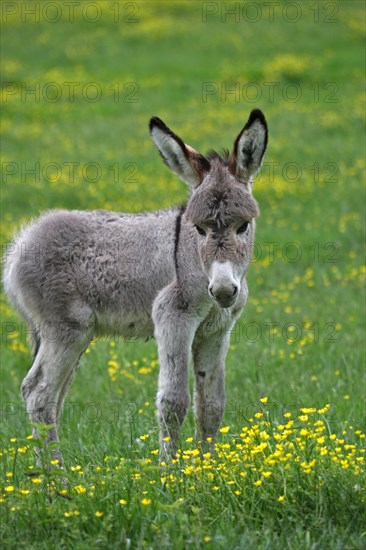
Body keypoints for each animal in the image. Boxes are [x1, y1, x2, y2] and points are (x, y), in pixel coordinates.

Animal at [3, 109, 268, 466]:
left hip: (70, 337)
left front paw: (208, 470)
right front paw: (171, 471)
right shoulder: (173, 317)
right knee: (38, 394)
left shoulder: (216, 331)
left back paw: (46, 471)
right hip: (65, 330)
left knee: (52, 397)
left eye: (244, 226)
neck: (193, 261)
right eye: (198, 228)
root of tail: (22, 242)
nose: (225, 290)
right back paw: (57, 476)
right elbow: (174, 401)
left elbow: (212, 404)